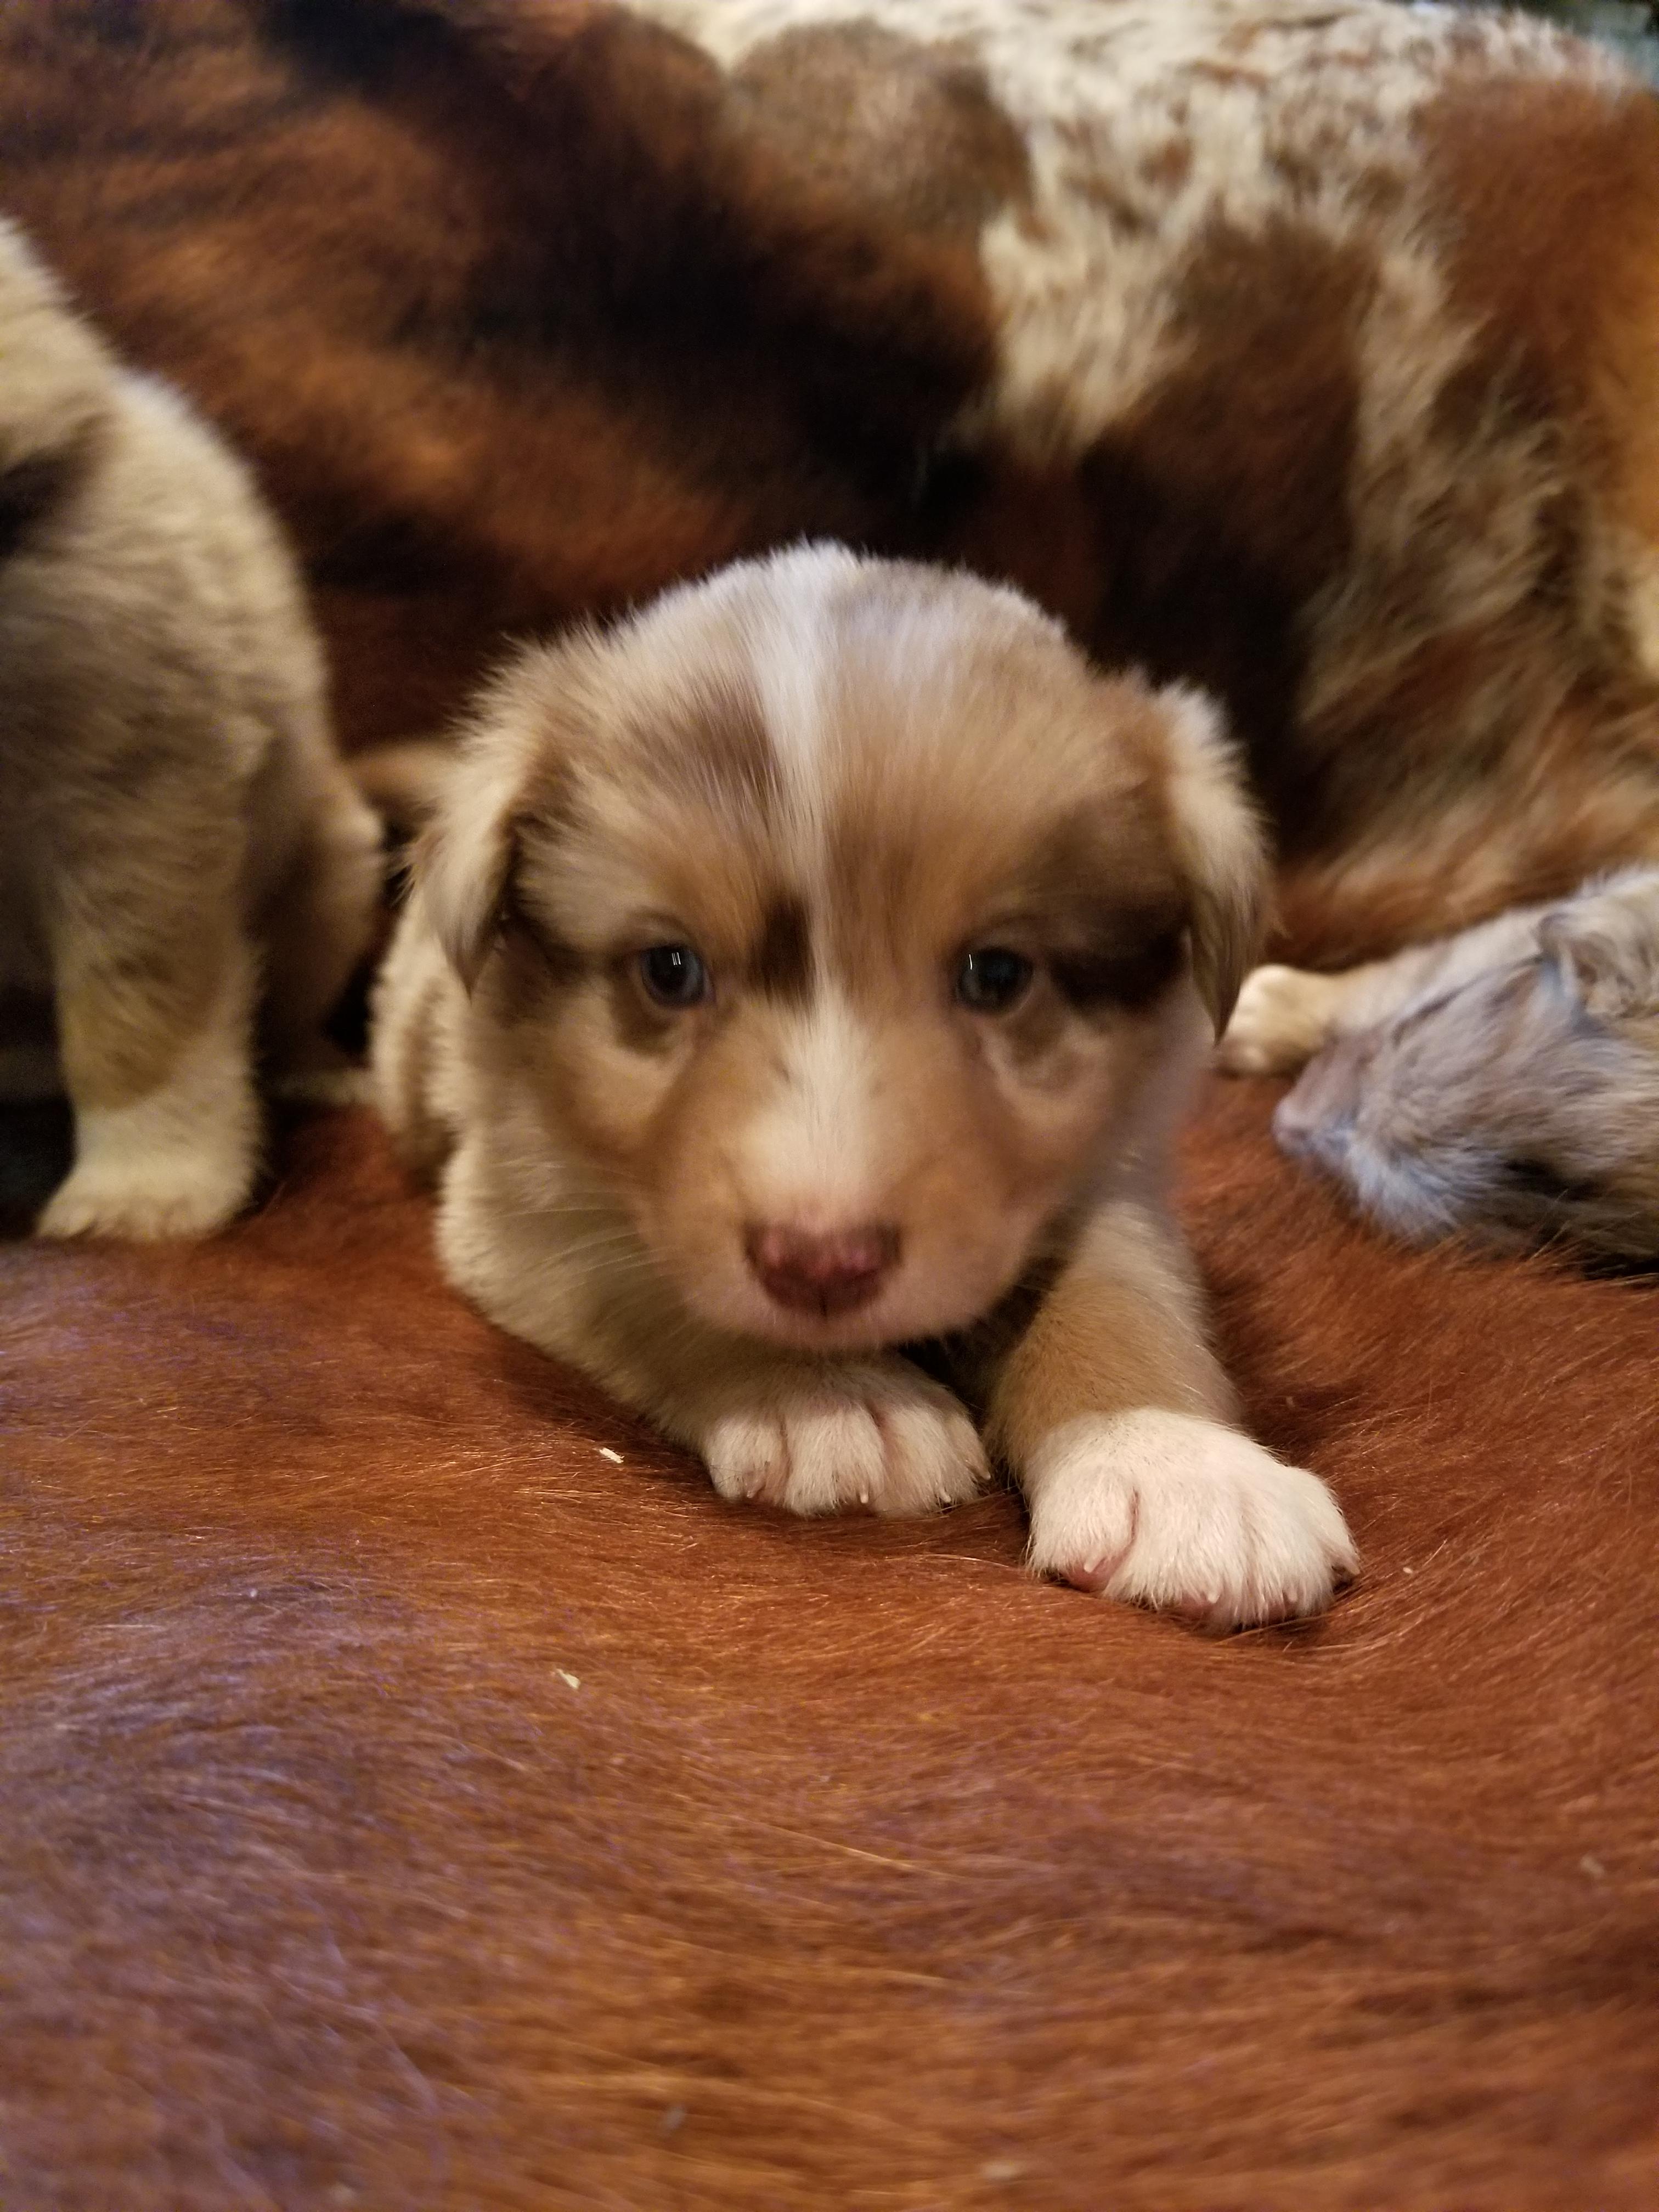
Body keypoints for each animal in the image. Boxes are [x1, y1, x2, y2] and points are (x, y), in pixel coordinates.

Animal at [0, 215, 381, 1239]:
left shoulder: (134, 815)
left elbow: (139, 1023)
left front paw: (145, 1189)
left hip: (331, 878)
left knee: (284, 1016)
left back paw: (318, 1075)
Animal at [371, 545, 1357, 1627]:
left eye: (996, 974)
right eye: (669, 970)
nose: (821, 1264)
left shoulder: (1112, 1173)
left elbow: (1121, 1292)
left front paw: (1177, 1467)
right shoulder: (509, 1204)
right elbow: (646, 1280)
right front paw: (834, 1396)